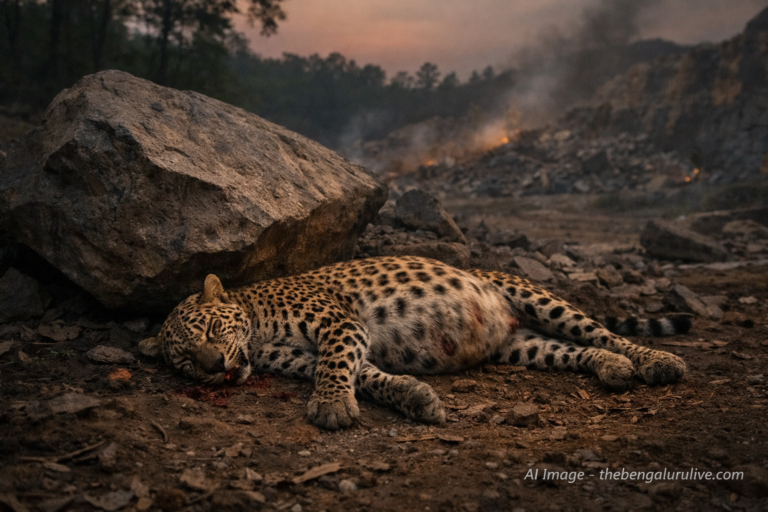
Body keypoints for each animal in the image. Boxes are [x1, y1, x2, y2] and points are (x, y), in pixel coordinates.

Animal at [139, 255, 690, 430]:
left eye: (211, 332)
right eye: (185, 361)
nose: (216, 367)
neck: (255, 330)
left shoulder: (339, 326)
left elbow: (336, 367)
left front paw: (332, 407)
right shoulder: (306, 355)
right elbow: (364, 375)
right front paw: (415, 397)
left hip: (540, 299)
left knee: (604, 331)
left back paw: (657, 361)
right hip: (526, 347)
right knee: (578, 350)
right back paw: (612, 368)